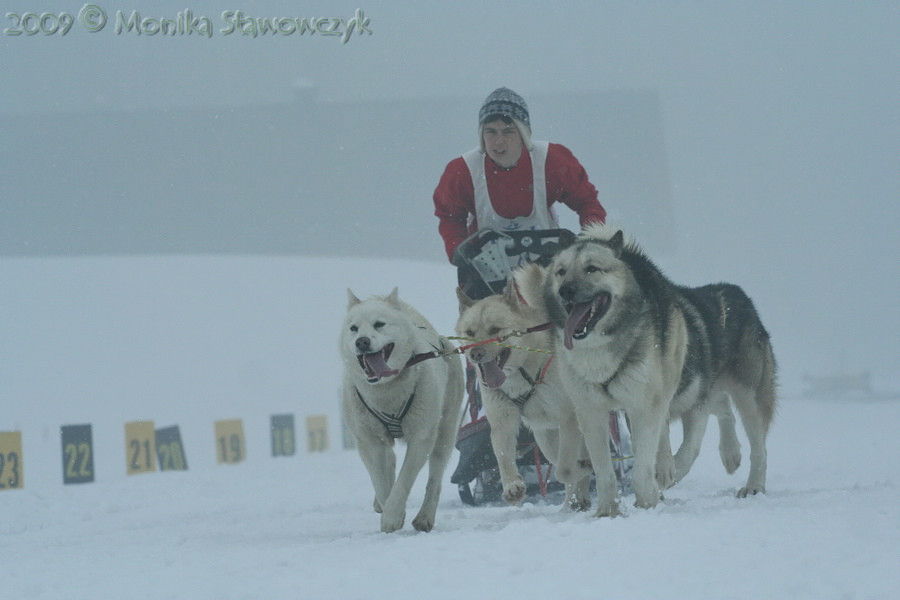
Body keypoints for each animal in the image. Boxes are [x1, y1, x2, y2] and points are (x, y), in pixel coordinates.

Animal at [340, 288, 464, 532]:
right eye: (353, 328)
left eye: (379, 324)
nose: (362, 341)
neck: (386, 392)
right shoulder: (369, 441)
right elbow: (380, 481)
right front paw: (387, 507)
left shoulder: (421, 437)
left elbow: (404, 480)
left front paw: (393, 515)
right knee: (390, 460)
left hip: (444, 433)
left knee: (434, 479)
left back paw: (425, 517)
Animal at [458, 284, 592, 508]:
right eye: (469, 332)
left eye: (495, 329)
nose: (476, 353)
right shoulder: (502, 420)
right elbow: (503, 455)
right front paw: (512, 485)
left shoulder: (569, 418)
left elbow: (566, 469)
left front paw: (580, 468)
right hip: (546, 440)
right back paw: (573, 501)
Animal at [516, 225, 776, 516]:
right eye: (561, 271)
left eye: (592, 268)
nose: (565, 290)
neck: (602, 348)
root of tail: (737, 293)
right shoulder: (592, 412)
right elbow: (604, 471)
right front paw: (608, 511)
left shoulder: (654, 404)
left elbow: (663, 458)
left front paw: (648, 500)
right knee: (720, 408)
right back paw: (728, 454)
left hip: (748, 396)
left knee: (758, 447)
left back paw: (752, 484)